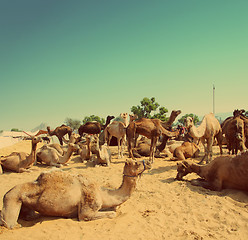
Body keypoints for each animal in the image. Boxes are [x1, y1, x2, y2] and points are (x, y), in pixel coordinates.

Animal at [0, 159, 151, 229]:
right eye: (136, 163)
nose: (147, 162)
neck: (101, 193)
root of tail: (6, 193)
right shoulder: (87, 210)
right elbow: (111, 214)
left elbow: (114, 208)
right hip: (12, 198)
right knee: (9, 223)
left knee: (31, 215)